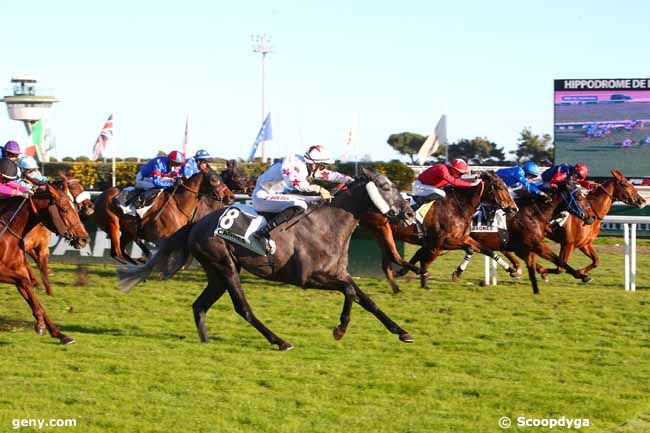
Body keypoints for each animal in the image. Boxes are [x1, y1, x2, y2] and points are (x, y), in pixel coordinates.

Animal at [0, 182, 88, 344]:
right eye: (64, 209)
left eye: (75, 207)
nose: (84, 239)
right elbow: (26, 282)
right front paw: (40, 324)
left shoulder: (18, 269)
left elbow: (30, 291)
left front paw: (60, 334)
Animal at [91, 169, 233, 264]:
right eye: (214, 179)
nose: (231, 196)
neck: (178, 204)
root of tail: (98, 199)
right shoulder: (161, 237)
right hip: (113, 224)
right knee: (117, 253)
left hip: (127, 230)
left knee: (119, 251)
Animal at [118, 167, 416, 350]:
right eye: (385, 186)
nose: (410, 214)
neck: (327, 224)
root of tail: (196, 224)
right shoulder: (309, 278)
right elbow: (350, 292)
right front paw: (340, 329)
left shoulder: (340, 274)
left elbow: (367, 299)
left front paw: (402, 332)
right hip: (226, 268)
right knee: (243, 308)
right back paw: (280, 341)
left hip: (217, 273)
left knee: (199, 305)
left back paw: (206, 341)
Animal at [360, 170, 516, 292]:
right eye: (499, 187)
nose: (514, 208)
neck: (457, 206)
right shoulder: (442, 242)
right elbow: (467, 249)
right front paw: (435, 278)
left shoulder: (461, 238)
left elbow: (486, 250)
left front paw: (512, 270)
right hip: (382, 230)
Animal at [448, 182, 596, 294]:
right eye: (578, 197)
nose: (592, 217)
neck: (533, 214)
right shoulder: (536, 245)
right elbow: (559, 261)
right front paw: (583, 276)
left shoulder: (524, 247)